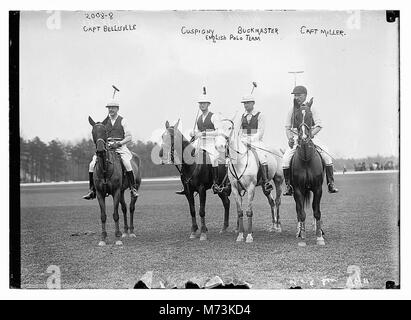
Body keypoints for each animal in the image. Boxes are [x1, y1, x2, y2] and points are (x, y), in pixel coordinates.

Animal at [89, 116, 142, 246]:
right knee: (124, 208)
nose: (100, 150)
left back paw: (131, 232)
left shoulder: (116, 192)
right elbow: (103, 215)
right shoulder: (100, 193)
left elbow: (115, 214)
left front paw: (117, 238)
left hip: (135, 186)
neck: (105, 169)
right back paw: (125, 232)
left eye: (105, 131)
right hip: (122, 191)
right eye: (93, 132)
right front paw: (103, 238)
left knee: (131, 207)